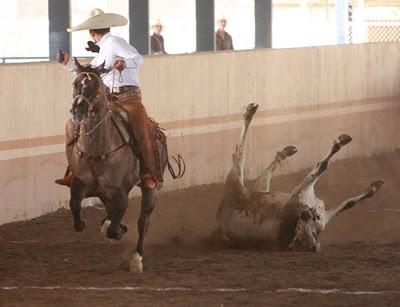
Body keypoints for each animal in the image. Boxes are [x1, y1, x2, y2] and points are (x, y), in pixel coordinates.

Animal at [66, 59, 184, 274]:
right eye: (76, 83)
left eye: (96, 87)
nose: (78, 110)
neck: (98, 148)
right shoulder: (81, 183)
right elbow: (76, 210)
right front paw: (93, 222)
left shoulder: (121, 191)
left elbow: (115, 227)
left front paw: (118, 229)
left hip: (149, 187)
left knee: (143, 221)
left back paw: (137, 258)